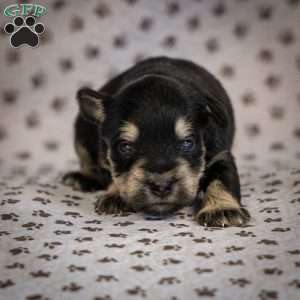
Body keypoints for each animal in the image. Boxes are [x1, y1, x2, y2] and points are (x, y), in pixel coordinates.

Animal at [63, 56, 251, 226]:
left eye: (187, 143)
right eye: (125, 147)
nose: (161, 186)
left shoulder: (220, 155)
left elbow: (222, 180)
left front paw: (222, 209)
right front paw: (115, 194)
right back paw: (81, 178)